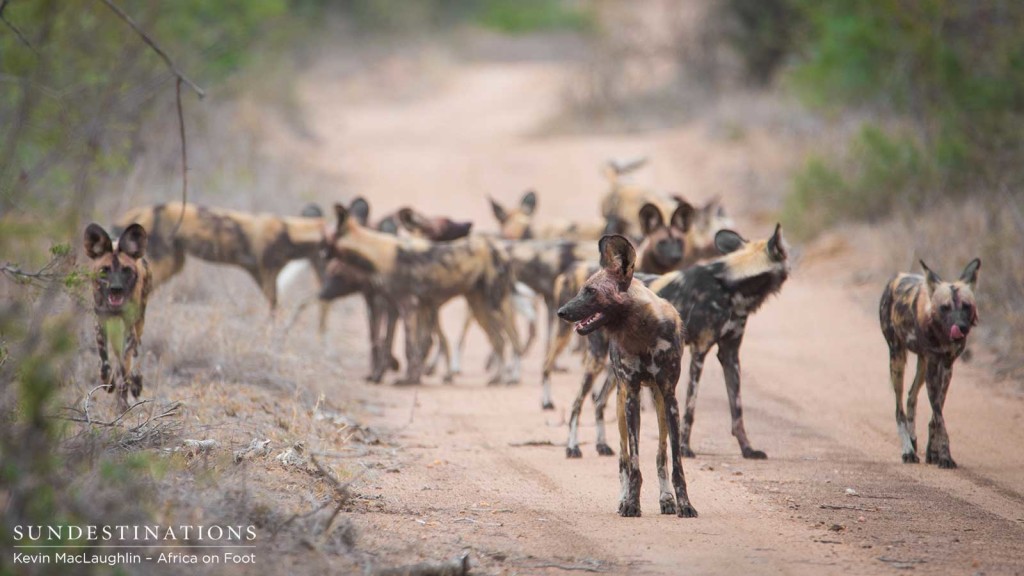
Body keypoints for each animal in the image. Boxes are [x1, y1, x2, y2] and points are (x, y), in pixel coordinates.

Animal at [84, 222, 151, 409]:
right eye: (104, 270)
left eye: (126, 270)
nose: (116, 288)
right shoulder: (100, 325)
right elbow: (105, 365)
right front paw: (109, 383)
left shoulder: (129, 330)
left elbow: (123, 365)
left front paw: (124, 391)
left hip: (138, 324)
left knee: (130, 357)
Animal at [115, 200, 323, 311]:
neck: (290, 232)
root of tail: (144, 210)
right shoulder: (267, 274)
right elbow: (275, 311)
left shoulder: (263, 277)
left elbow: (274, 308)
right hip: (165, 263)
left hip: (174, 263)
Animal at [323, 201, 524, 385]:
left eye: (327, 238)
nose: (322, 252)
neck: (379, 255)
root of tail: (501, 248)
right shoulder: (394, 307)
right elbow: (387, 343)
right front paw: (380, 376)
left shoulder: (409, 307)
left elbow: (411, 346)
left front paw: (409, 380)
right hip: (479, 308)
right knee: (499, 340)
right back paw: (496, 378)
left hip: (494, 305)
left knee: (510, 340)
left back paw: (508, 377)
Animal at [557, 233, 700, 516]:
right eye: (582, 289)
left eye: (590, 291)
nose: (562, 312)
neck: (642, 332)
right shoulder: (631, 395)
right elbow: (633, 463)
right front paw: (631, 503)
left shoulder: (669, 397)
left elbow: (675, 462)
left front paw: (684, 504)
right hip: (617, 396)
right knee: (620, 455)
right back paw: (620, 495)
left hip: (656, 401)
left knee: (660, 455)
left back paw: (666, 499)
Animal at [876, 256, 978, 467]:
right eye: (944, 307)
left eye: (966, 306)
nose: (961, 327)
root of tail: (896, 277)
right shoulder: (933, 366)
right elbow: (939, 417)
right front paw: (945, 456)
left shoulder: (946, 366)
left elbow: (937, 415)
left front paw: (935, 452)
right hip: (897, 360)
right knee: (899, 409)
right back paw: (908, 450)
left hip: (922, 365)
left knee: (911, 396)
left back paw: (913, 441)